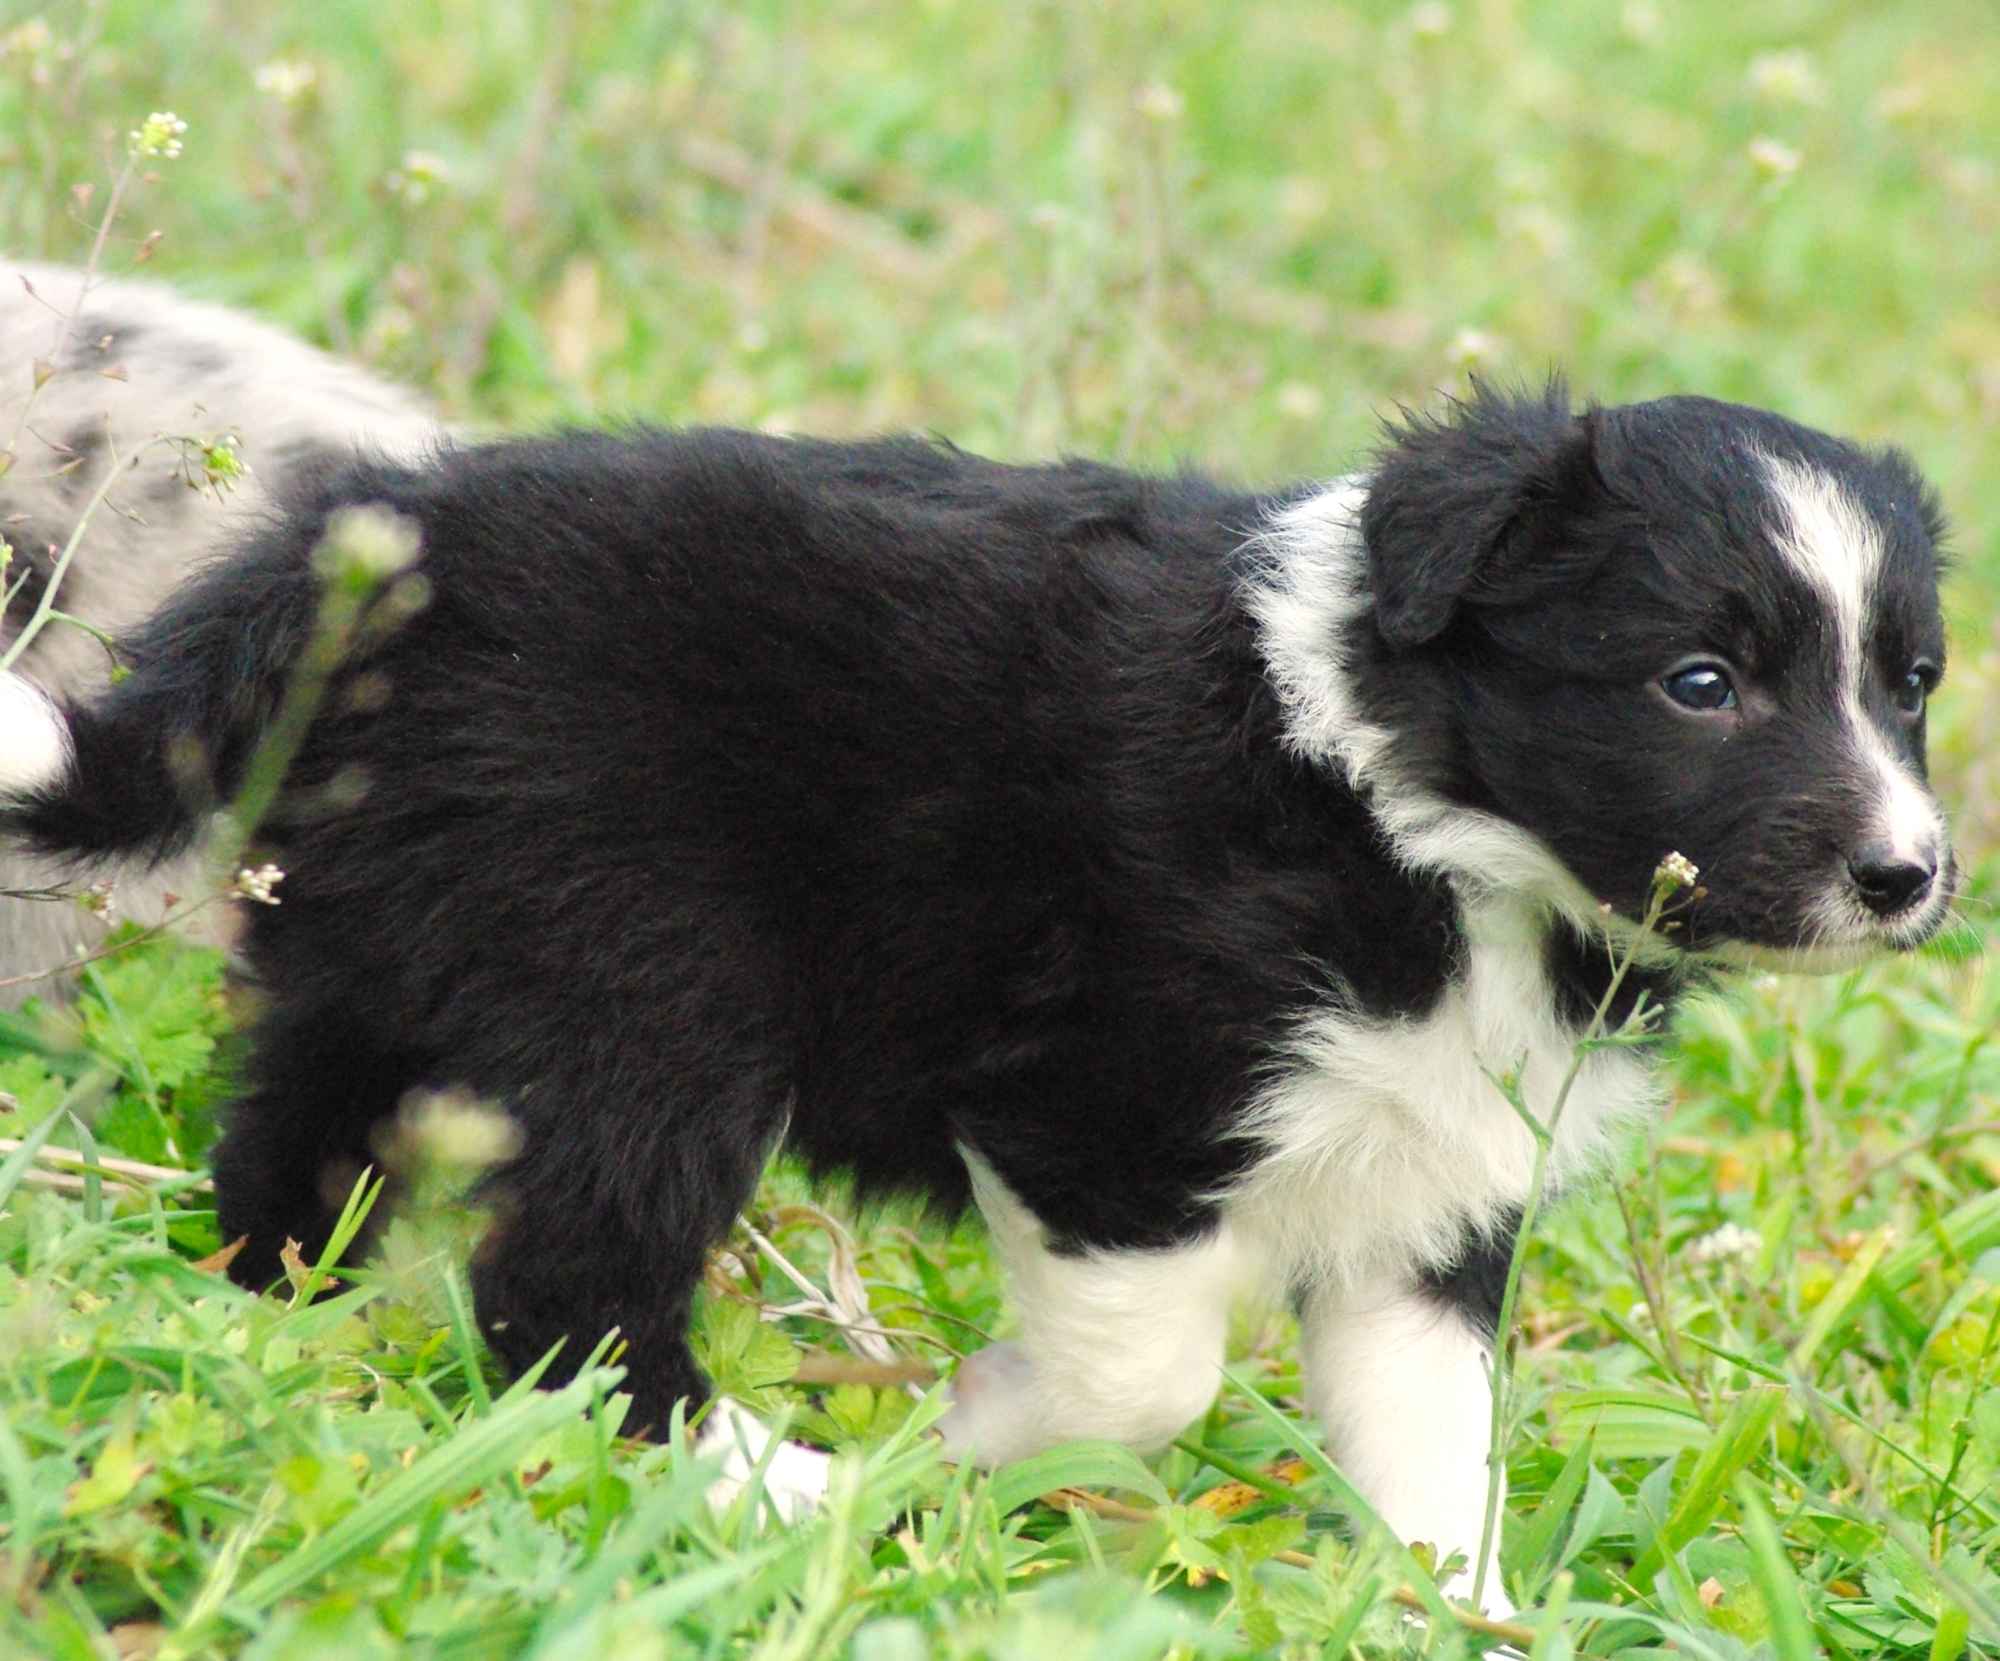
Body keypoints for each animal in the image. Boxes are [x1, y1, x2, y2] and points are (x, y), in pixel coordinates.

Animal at [0, 384, 1952, 1608]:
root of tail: (361, 549)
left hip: (389, 944)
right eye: (1698, 681)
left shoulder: (1434, 1170)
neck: (1421, 820)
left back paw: (276, 1342)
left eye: (1913, 682)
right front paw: (963, 1439)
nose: (1912, 876)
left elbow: (1428, 1437)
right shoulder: (1105, 1099)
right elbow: (1150, 1368)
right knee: (566, 1277)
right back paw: (759, 1480)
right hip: (647, 977)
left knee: (294, 1152)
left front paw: (1451, 1610)